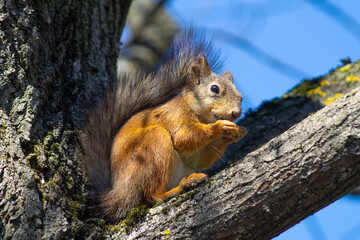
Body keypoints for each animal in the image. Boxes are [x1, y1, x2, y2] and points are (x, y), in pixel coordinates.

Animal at [80, 28, 246, 223]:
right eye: (214, 89)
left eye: (241, 97)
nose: (236, 114)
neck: (200, 115)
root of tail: (119, 194)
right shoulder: (174, 115)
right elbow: (183, 138)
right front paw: (219, 127)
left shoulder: (198, 156)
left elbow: (203, 159)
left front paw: (237, 132)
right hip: (153, 146)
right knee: (152, 196)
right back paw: (180, 187)